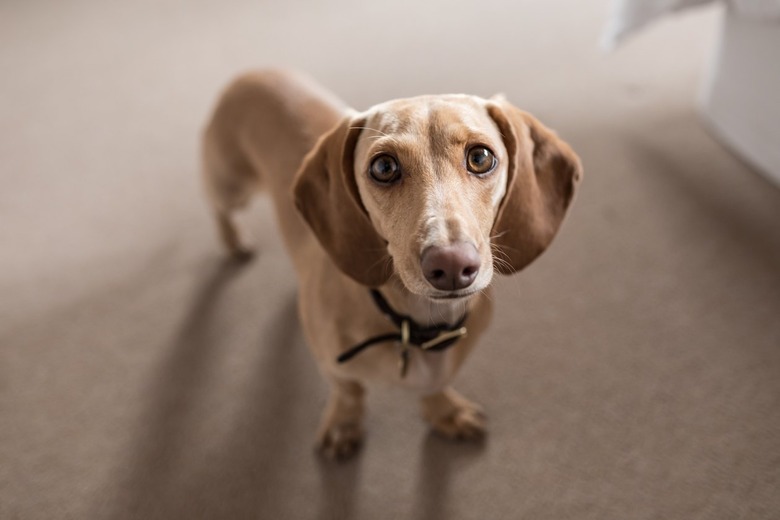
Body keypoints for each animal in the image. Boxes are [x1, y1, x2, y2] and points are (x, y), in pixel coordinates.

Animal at [201, 70, 580, 460]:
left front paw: (445, 412)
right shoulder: (336, 369)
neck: (415, 325)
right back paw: (234, 240)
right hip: (230, 185)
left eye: (480, 157)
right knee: (217, 207)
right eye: (384, 167)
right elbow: (349, 392)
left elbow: (435, 386)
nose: (452, 265)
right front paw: (343, 425)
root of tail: (254, 72)